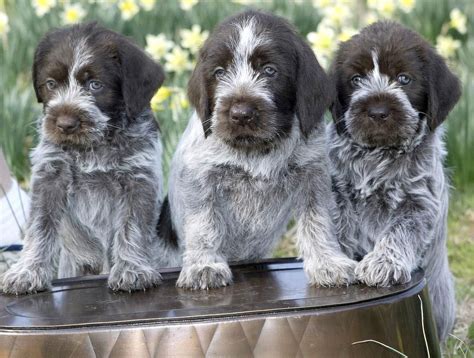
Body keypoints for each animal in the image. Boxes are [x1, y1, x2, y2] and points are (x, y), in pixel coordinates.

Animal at [0, 22, 171, 294]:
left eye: (95, 85)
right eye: (51, 84)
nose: (64, 124)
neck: (93, 145)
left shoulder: (138, 179)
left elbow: (131, 225)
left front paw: (132, 268)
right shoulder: (50, 177)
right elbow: (39, 226)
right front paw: (28, 271)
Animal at [165, 10, 358, 290]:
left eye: (270, 71)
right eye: (219, 72)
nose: (240, 114)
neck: (256, 149)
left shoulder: (313, 175)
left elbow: (318, 220)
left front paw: (328, 262)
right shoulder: (199, 179)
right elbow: (203, 224)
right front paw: (204, 265)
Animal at [328, 21, 462, 340]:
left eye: (404, 78)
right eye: (356, 79)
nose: (378, 112)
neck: (378, 155)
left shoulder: (419, 204)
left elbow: (399, 233)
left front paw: (382, 263)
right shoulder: (338, 197)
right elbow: (339, 230)